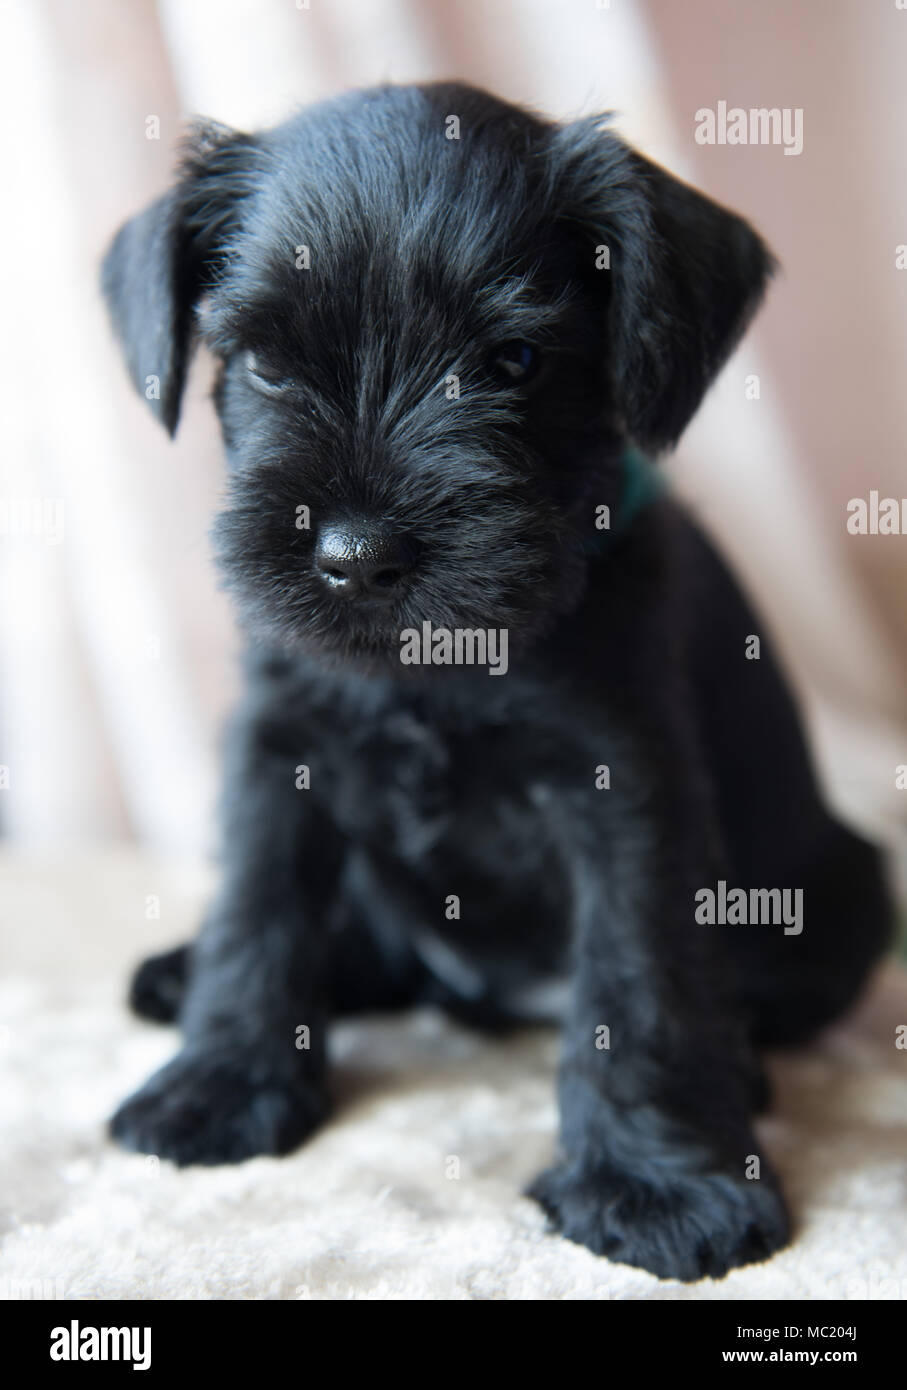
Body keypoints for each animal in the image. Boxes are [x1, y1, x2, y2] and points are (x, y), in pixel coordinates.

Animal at [100, 84, 888, 1278]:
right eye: (266, 362)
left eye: (513, 360)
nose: (357, 555)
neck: (433, 670)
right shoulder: (279, 751)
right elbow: (256, 911)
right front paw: (218, 1083)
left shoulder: (623, 789)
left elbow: (639, 982)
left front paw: (656, 1184)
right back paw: (178, 975)